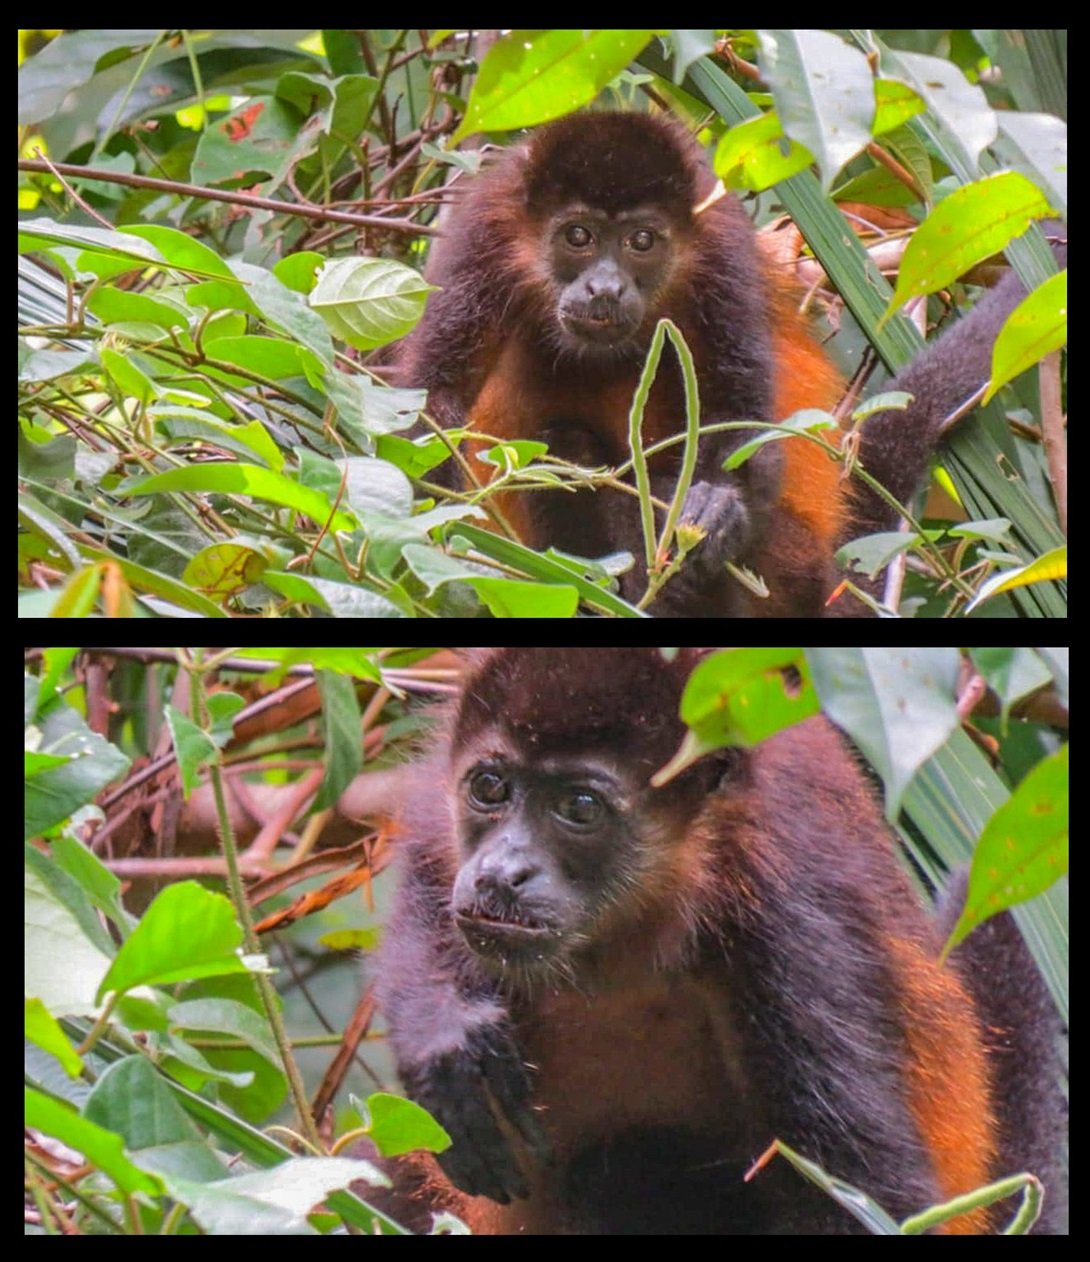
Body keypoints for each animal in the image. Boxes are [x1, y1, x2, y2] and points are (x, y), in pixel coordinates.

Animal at [375, 651, 1064, 1231]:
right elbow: (425, 849)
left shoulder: (795, 937)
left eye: (580, 807)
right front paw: (443, 1031)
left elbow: (869, 1194)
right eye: (490, 788)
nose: (502, 871)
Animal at [401, 113, 1064, 615]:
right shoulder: (484, 231)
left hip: (789, 566)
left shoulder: (721, 252)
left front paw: (715, 512)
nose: (605, 288)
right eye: (578, 236)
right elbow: (433, 399)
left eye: (642, 241)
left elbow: (742, 429)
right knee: (565, 445)